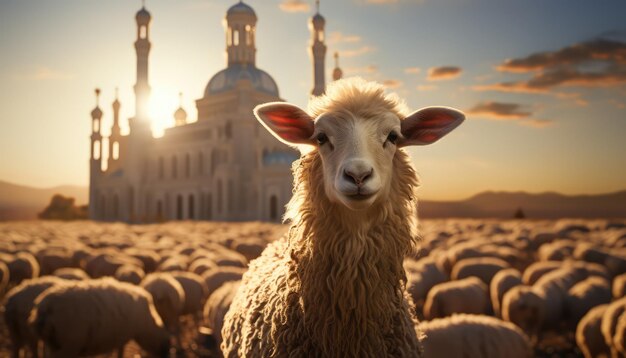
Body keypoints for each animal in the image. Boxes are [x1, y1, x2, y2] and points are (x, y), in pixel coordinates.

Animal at [29, 278, 168, 356]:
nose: (164, 353)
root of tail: (45, 307)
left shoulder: (116, 337)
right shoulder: (121, 336)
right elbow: (118, 353)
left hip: (53, 344)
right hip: (69, 343)